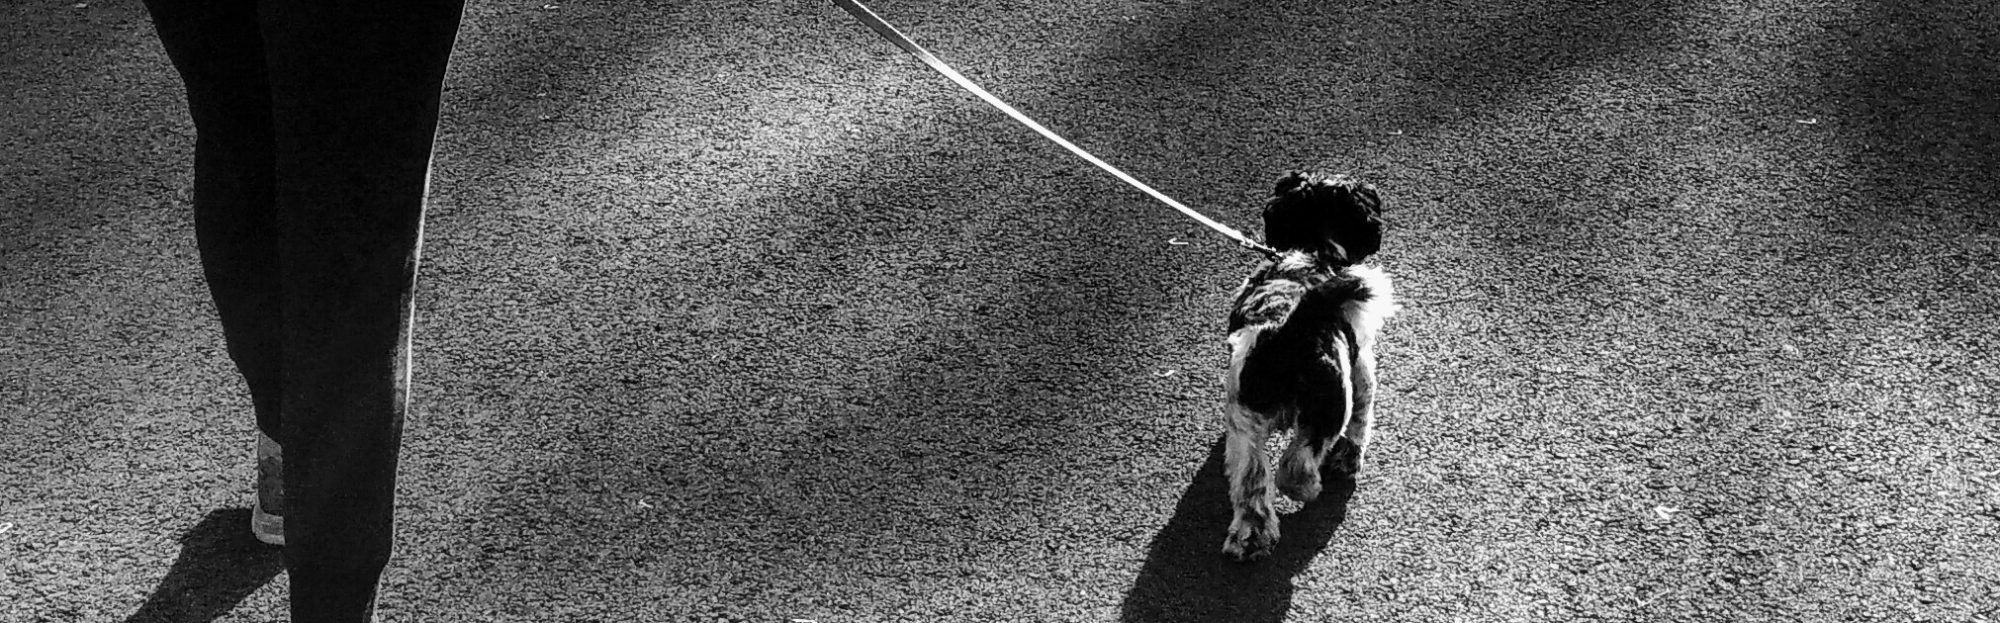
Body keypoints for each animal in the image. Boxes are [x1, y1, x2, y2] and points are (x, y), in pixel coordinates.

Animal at [1220, 171, 1396, 561]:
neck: (1316, 249)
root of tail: (1290, 328)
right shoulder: (1361, 367)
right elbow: (1363, 418)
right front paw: (1350, 459)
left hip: (1245, 421)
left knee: (1252, 482)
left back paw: (1251, 536)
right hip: (1330, 405)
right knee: (1296, 464)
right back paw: (1307, 488)